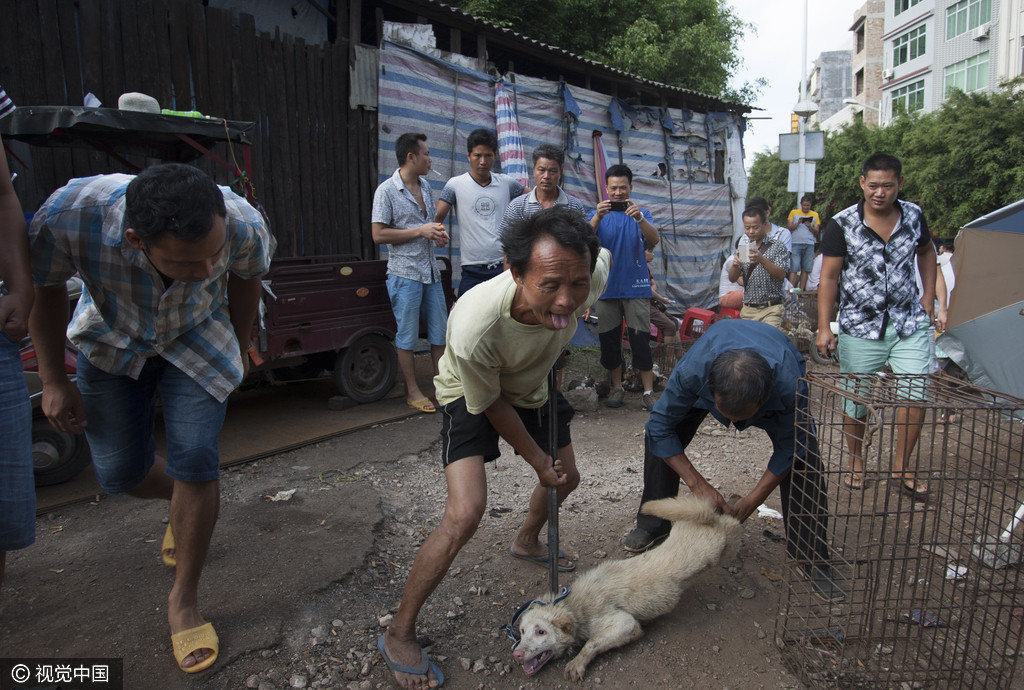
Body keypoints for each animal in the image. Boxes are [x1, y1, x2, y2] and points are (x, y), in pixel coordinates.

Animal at [509, 495, 737, 675]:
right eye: (522, 631)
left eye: (541, 632)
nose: (517, 654)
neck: (575, 606)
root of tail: (709, 520)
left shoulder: (625, 623)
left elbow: (592, 642)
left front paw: (577, 663)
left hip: (718, 548)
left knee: (731, 523)